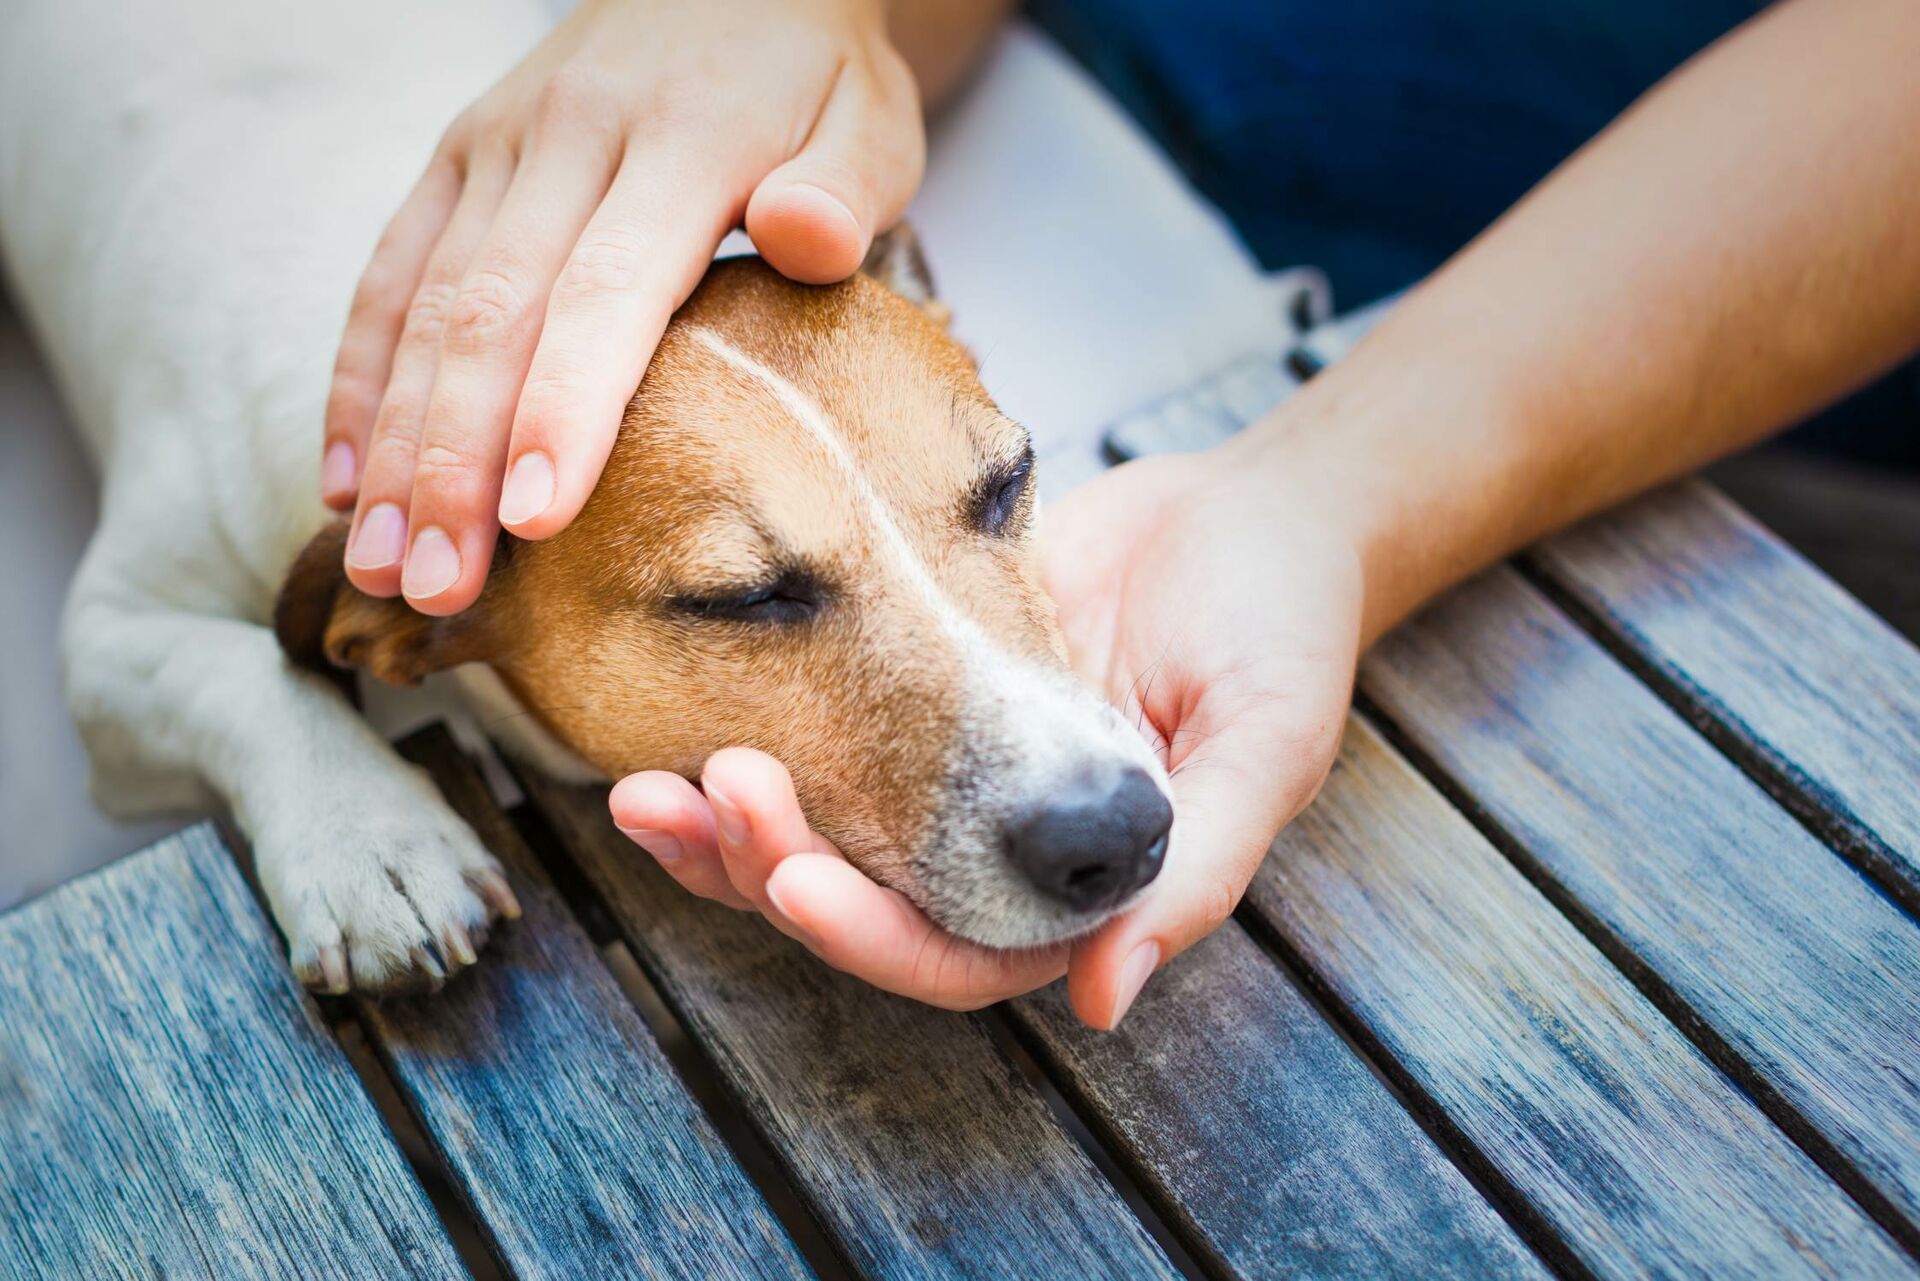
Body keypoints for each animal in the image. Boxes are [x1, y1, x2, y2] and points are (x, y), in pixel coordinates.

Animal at [0, 0, 1175, 990]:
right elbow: (243, 671)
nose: (1115, 831)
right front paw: (369, 840)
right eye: (744, 599)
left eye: (1008, 483)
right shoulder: (110, 636)